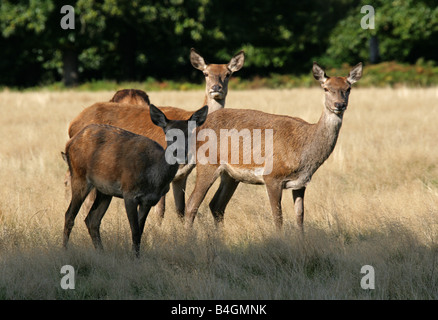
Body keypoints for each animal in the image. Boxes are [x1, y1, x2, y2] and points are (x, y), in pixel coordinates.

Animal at [61, 105, 209, 258]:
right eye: (168, 133)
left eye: (190, 133)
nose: (179, 154)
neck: (153, 179)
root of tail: (69, 143)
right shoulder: (129, 193)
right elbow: (135, 231)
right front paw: (134, 258)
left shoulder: (148, 200)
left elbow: (140, 231)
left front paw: (136, 256)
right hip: (79, 176)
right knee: (69, 215)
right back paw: (64, 250)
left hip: (105, 191)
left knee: (92, 219)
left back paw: (101, 252)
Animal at [65, 48, 245, 222]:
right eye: (206, 73)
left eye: (228, 74)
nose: (216, 88)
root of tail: (73, 123)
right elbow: (160, 211)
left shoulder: (182, 175)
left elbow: (180, 210)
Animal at [184, 62, 362, 231]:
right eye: (326, 88)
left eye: (348, 88)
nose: (339, 104)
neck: (303, 151)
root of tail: (196, 128)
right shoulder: (272, 176)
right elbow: (278, 218)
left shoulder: (301, 183)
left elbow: (300, 217)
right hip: (207, 163)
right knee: (192, 204)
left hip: (230, 175)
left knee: (216, 205)